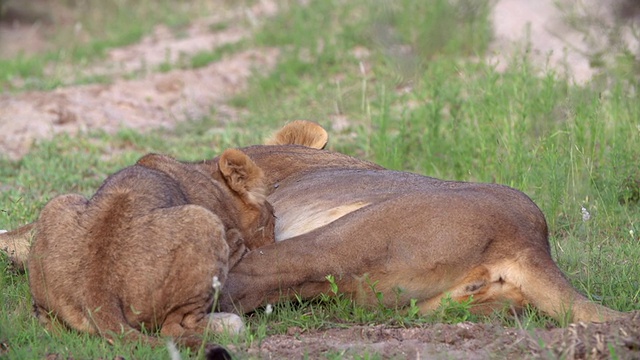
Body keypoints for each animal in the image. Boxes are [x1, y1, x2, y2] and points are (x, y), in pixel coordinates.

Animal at [26, 148, 276, 352]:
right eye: (273, 217)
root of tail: (97, 290)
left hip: (57, 203)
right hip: (203, 221)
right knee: (174, 328)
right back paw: (229, 324)